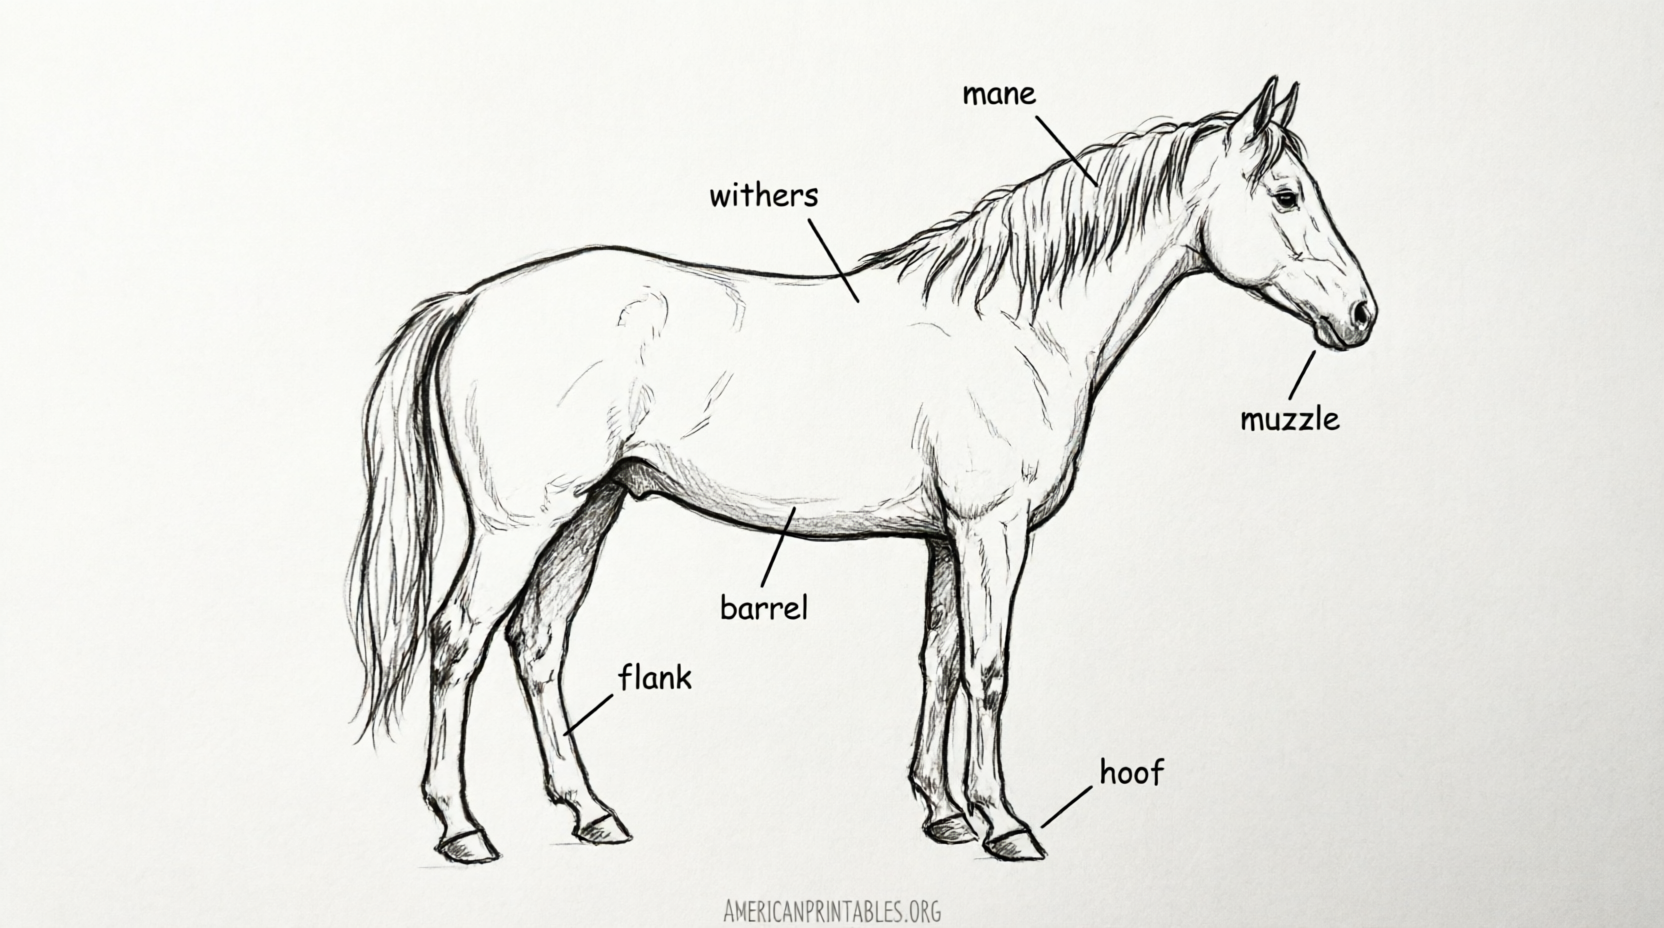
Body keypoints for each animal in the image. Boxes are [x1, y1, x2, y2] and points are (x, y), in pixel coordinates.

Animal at [349, 77, 1375, 864]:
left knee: (539, 644)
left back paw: (592, 813)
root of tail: (471, 300)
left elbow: (940, 659)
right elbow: (991, 667)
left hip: (589, 512)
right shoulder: (992, 528)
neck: (1015, 325)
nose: (1361, 314)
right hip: (520, 524)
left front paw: (944, 811)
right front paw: (1005, 823)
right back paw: (462, 828)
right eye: (1288, 195)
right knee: (457, 641)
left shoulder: (948, 537)